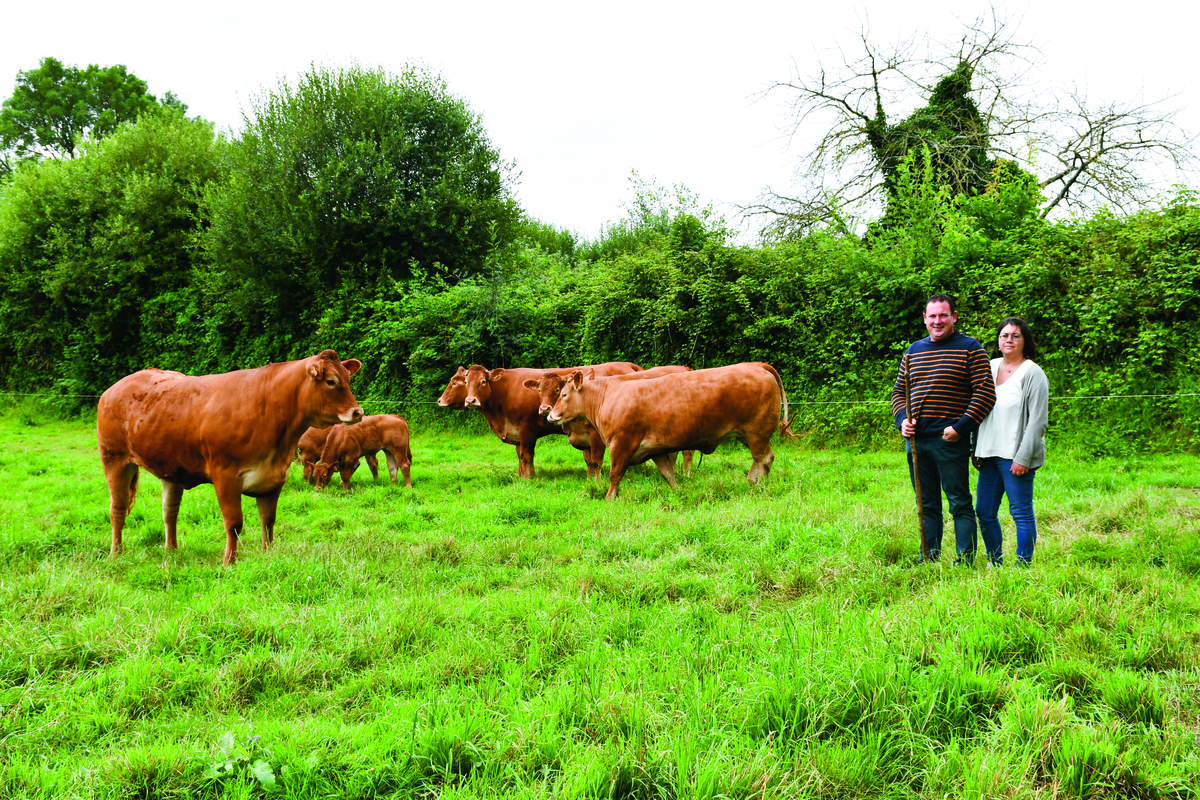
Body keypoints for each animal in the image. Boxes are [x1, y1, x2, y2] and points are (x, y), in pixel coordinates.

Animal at [97, 347, 362, 563]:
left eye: (348, 379)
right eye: (330, 381)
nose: (357, 412)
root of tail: (114, 388)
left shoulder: (274, 478)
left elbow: (268, 521)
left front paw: (268, 554)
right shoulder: (225, 476)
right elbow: (234, 523)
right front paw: (229, 562)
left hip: (170, 469)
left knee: (169, 511)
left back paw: (171, 551)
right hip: (114, 459)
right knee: (118, 508)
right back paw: (116, 553)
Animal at [520, 367, 700, 479]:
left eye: (558, 391)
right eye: (539, 390)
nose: (545, 409)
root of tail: (684, 368)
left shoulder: (597, 437)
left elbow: (596, 461)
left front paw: (598, 482)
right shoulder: (584, 439)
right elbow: (588, 461)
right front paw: (589, 479)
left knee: (688, 452)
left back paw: (686, 475)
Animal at [549, 364, 792, 501]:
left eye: (563, 394)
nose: (550, 415)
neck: (609, 394)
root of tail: (759, 367)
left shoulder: (621, 443)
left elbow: (615, 474)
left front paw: (610, 497)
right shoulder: (656, 449)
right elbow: (668, 473)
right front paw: (677, 491)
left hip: (757, 432)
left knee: (764, 459)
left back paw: (760, 485)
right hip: (748, 434)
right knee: (759, 459)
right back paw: (751, 481)